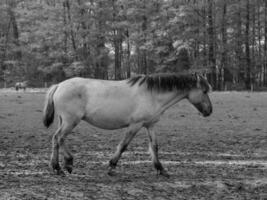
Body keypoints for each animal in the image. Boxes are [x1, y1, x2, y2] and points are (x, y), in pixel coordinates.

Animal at [42, 72, 214, 177]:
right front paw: (111, 166)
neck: (152, 95)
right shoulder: (135, 125)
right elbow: (123, 145)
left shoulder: (150, 125)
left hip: (65, 121)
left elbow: (154, 147)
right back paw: (63, 165)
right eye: (204, 91)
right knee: (58, 138)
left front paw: (161, 169)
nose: (209, 111)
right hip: (71, 121)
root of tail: (59, 85)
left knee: (57, 139)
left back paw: (61, 166)